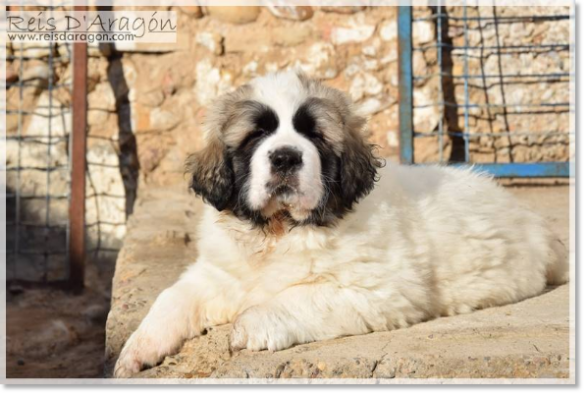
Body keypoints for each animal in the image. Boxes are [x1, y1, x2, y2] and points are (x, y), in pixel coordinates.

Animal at [112, 70, 564, 378]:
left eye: (315, 136)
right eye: (256, 135)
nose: (285, 157)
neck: (279, 232)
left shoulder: (378, 289)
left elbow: (292, 298)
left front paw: (247, 326)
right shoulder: (217, 273)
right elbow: (172, 298)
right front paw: (135, 348)